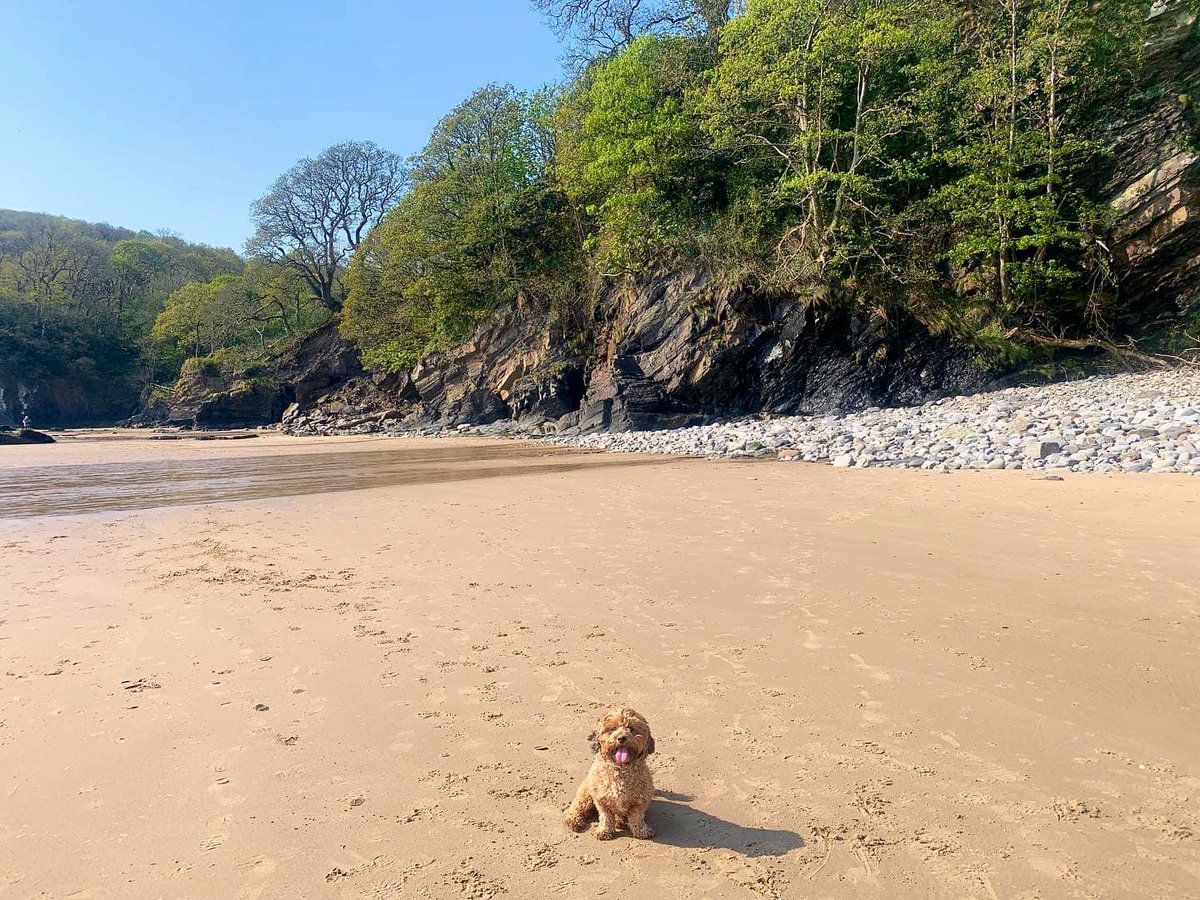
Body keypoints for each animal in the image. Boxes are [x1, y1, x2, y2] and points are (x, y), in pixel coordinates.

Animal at [561, 710, 657, 844]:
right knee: (577, 806)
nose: (621, 738)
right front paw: (604, 831)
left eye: (632, 729)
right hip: (585, 794)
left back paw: (620, 821)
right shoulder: (601, 800)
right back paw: (574, 820)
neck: (621, 770)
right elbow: (606, 817)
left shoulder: (640, 801)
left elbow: (637, 817)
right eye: (612, 729)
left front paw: (641, 831)